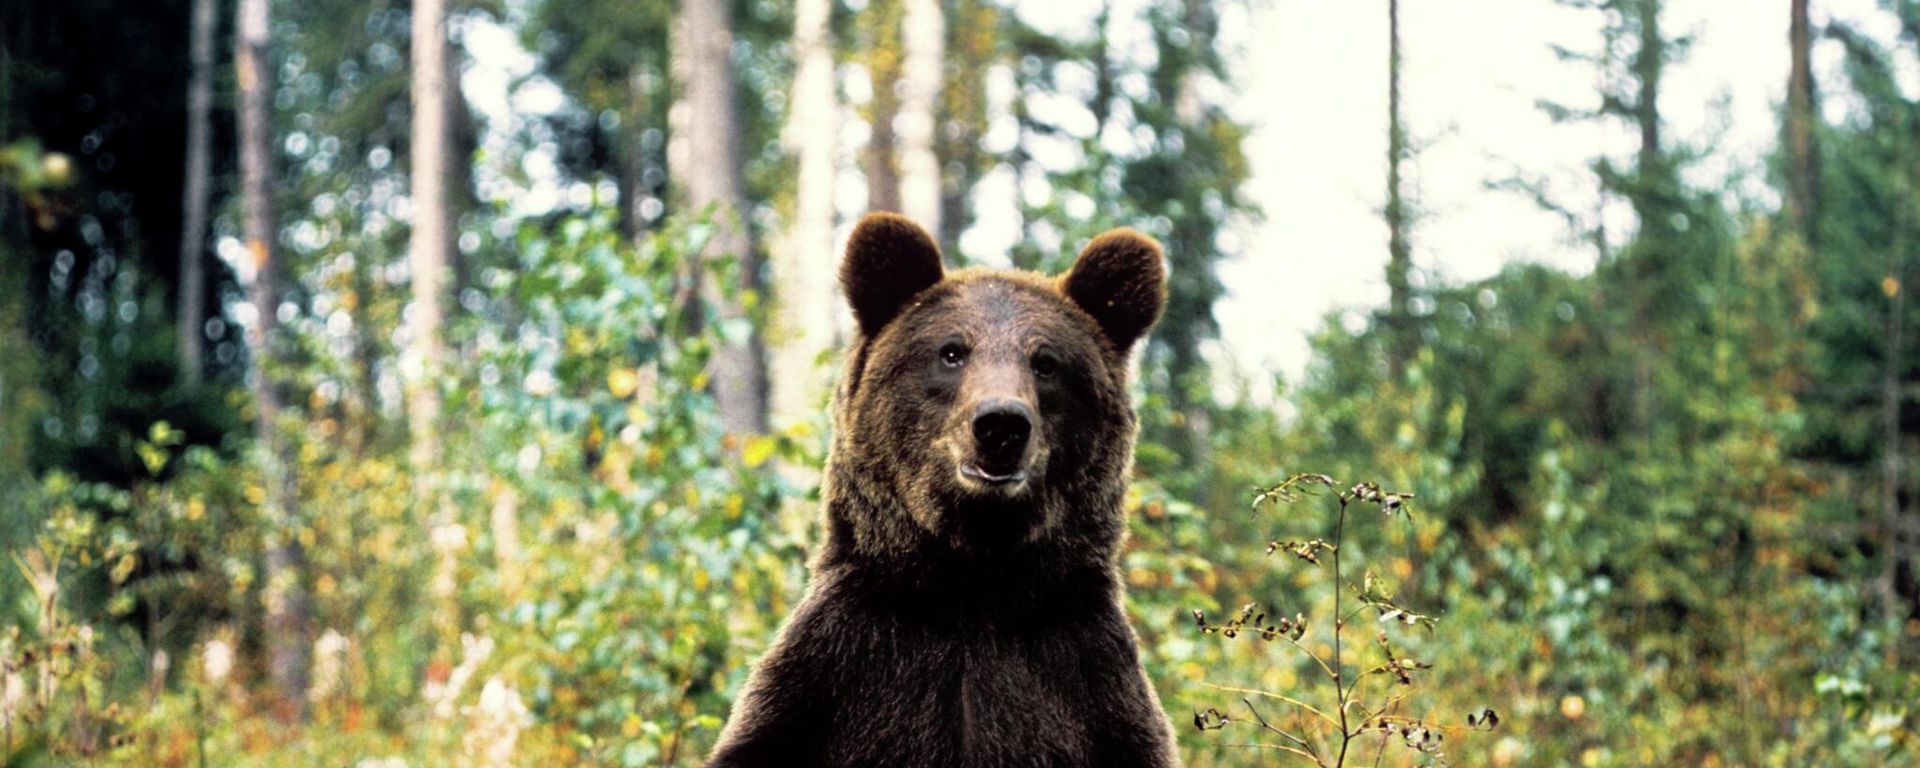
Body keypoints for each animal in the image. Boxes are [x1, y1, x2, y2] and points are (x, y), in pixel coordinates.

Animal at [706, 212, 1179, 768]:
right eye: (952, 352)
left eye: (1046, 363)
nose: (1001, 425)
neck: (969, 587)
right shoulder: (835, 669)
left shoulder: (1088, 682)